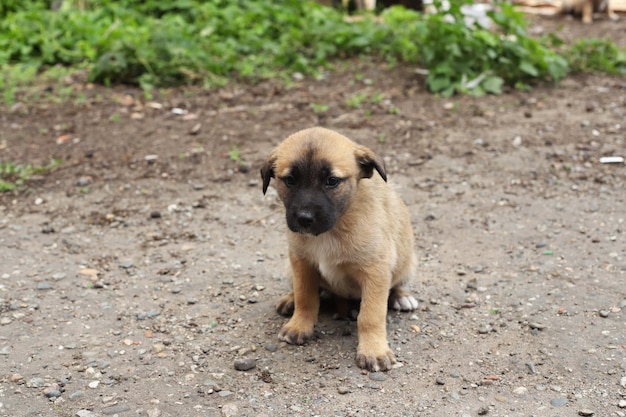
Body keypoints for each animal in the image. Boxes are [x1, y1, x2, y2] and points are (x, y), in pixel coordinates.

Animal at [260, 127, 416, 370]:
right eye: (290, 180)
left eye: (332, 181)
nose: (304, 218)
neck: (333, 229)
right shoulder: (302, 261)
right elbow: (305, 297)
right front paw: (299, 325)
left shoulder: (376, 270)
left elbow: (370, 315)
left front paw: (373, 351)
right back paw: (289, 299)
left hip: (407, 263)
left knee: (395, 286)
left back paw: (400, 297)